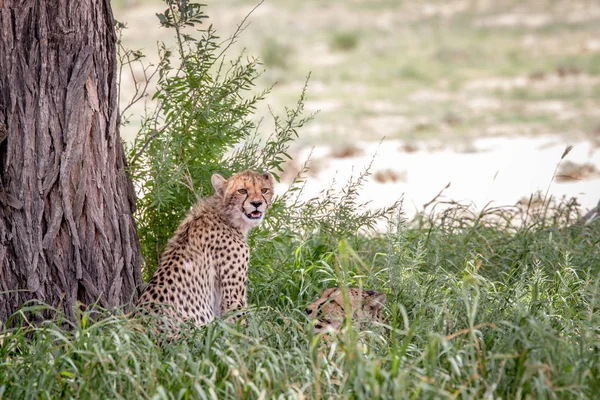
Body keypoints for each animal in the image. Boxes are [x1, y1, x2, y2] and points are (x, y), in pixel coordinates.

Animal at [137, 169, 274, 328]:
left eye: (264, 190)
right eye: (242, 191)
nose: (257, 203)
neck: (225, 215)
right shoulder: (232, 297)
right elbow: (240, 324)